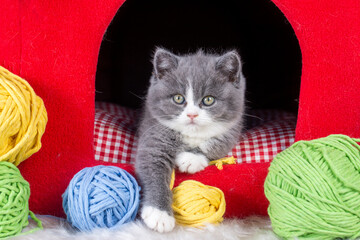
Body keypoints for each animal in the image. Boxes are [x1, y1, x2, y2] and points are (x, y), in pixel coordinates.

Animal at [136, 47, 248, 232]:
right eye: (178, 98)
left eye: (208, 100)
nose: (192, 114)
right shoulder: (153, 133)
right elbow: (152, 168)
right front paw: (159, 214)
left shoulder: (232, 128)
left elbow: (218, 145)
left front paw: (191, 159)